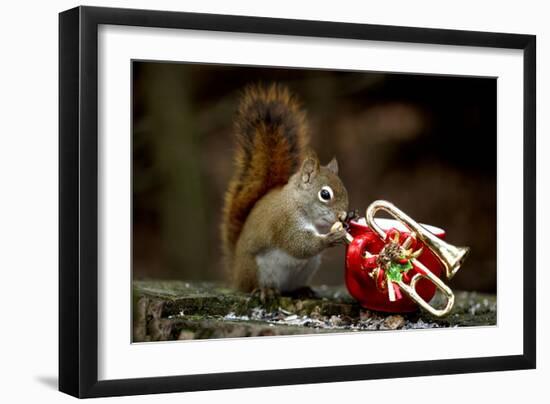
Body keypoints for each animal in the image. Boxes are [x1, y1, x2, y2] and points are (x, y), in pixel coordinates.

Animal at [221, 84, 348, 294]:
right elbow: (298, 245)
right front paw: (329, 238)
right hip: (255, 270)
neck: (296, 202)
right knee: (254, 286)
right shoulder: (284, 222)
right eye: (325, 194)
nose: (343, 215)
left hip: (308, 267)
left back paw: (302, 290)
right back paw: (264, 291)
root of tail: (236, 276)